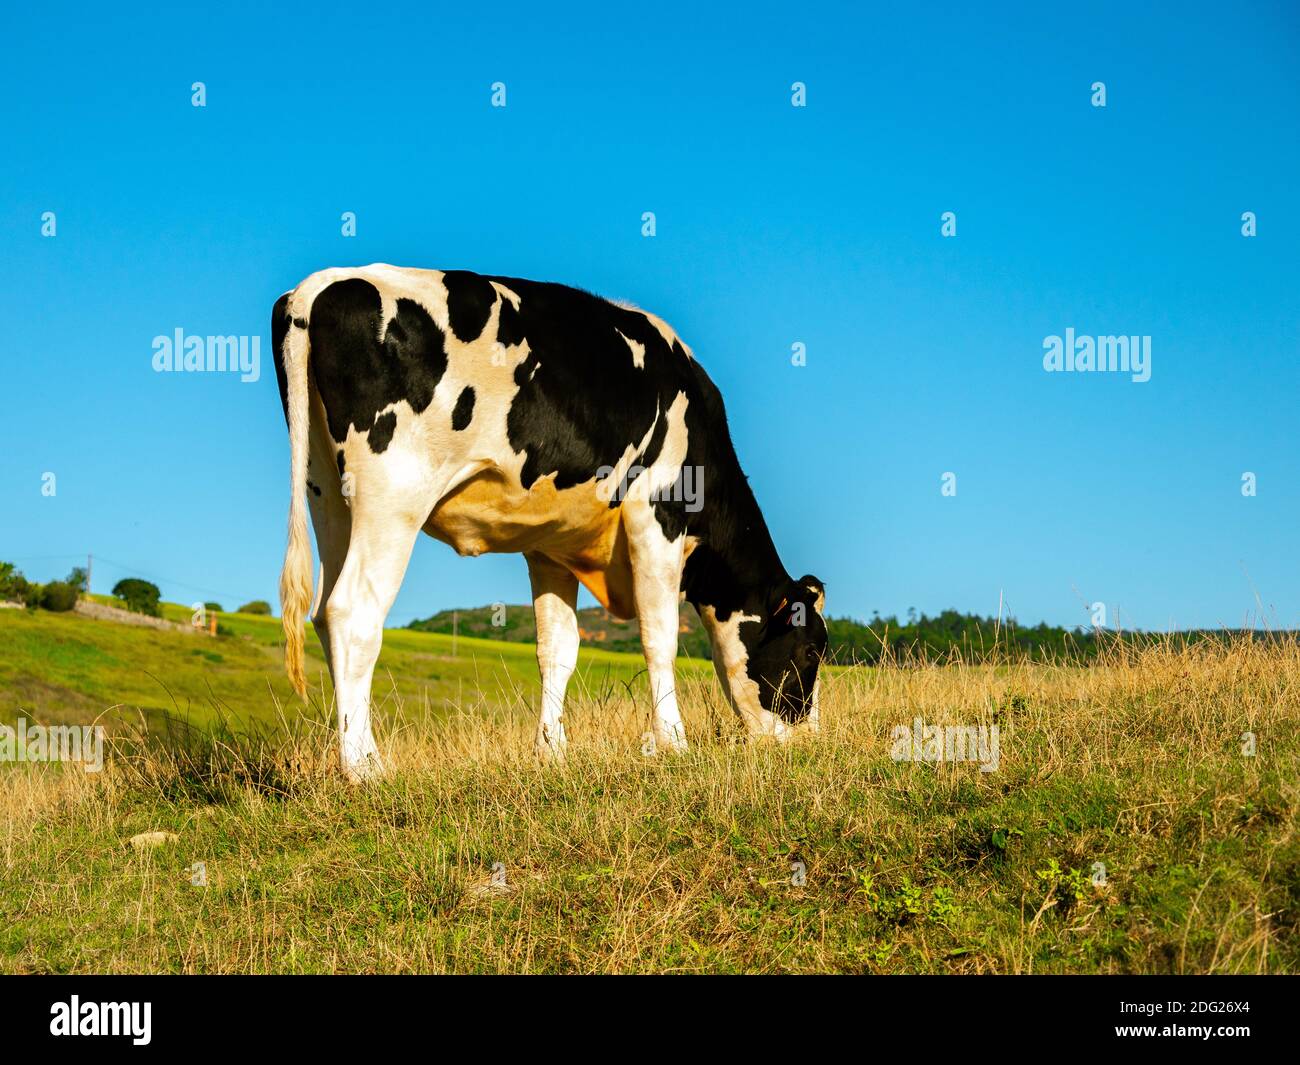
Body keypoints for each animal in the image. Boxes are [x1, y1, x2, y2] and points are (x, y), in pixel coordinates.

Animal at [272, 264, 827, 780]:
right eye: (808, 653)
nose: (810, 741)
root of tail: (321, 285)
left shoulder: (550, 543)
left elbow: (557, 648)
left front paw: (552, 752)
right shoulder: (657, 513)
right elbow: (660, 634)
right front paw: (672, 742)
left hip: (328, 494)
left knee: (323, 612)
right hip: (393, 494)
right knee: (352, 613)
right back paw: (364, 767)